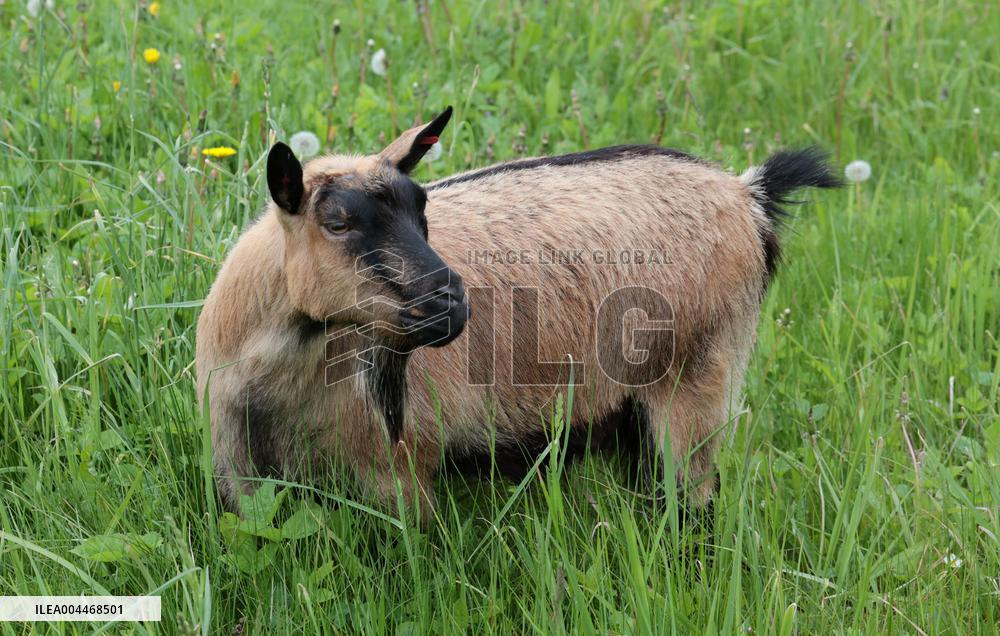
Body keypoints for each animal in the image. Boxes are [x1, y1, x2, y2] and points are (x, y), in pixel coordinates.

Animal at [196, 106, 840, 517]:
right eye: (337, 222)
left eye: (422, 207)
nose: (451, 302)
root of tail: (749, 195)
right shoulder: (238, 474)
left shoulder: (399, 468)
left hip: (697, 380)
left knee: (693, 501)